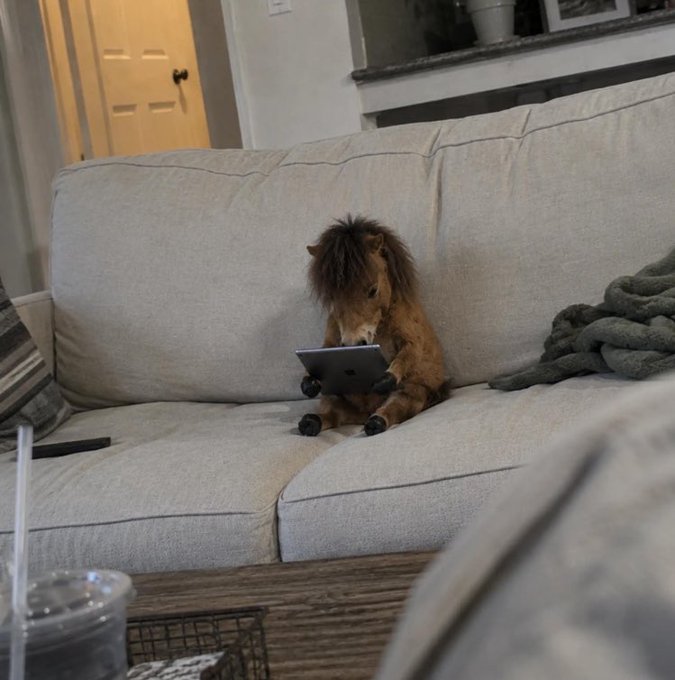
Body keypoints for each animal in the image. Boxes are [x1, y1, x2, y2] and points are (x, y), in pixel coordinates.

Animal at [298, 215, 449, 437]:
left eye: (373, 290)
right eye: (332, 297)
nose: (353, 345)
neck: (381, 324)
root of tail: (363, 414)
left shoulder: (412, 339)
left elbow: (408, 354)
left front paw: (384, 379)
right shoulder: (331, 340)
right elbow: (324, 348)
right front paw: (309, 383)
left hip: (412, 392)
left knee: (393, 407)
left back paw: (376, 422)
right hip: (335, 394)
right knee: (333, 413)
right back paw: (310, 422)